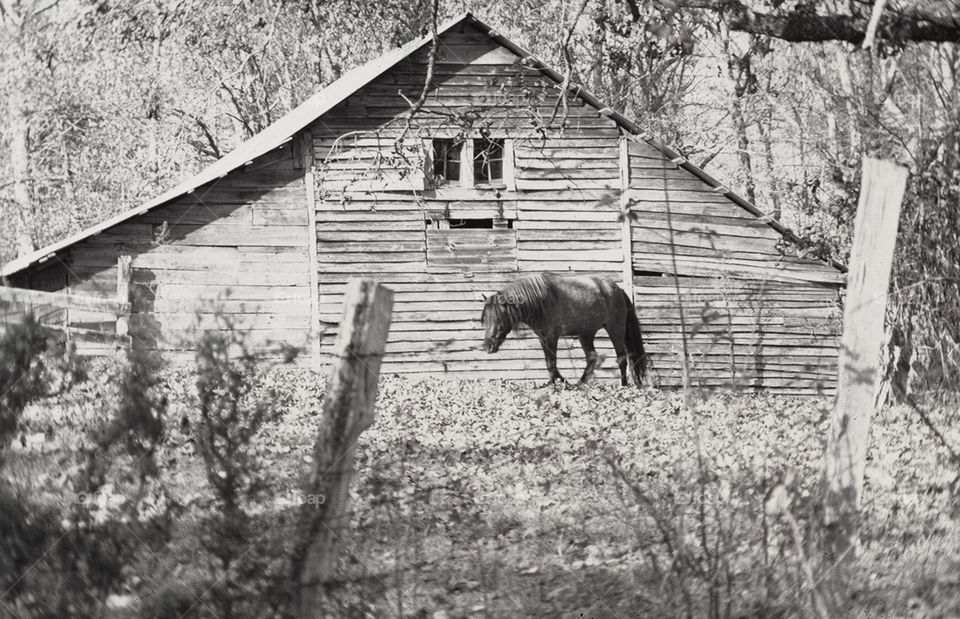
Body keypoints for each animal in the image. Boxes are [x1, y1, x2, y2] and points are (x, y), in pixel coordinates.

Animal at [484, 272, 648, 388]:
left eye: (499, 318)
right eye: (485, 319)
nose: (486, 347)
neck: (540, 300)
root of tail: (618, 289)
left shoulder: (552, 336)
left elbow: (552, 362)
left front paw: (554, 384)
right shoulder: (543, 337)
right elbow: (550, 362)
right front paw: (557, 381)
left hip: (615, 330)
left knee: (621, 357)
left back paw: (623, 385)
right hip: (586, 334)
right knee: (592, 357)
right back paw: (580, 384)